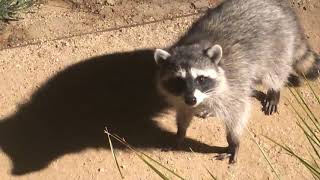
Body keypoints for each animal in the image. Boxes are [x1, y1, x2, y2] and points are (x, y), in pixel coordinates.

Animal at [154, 0, 318, 163]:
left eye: (201, 79)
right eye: (178, 80)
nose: (192, 99)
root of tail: (281, 6)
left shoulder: (233, 82)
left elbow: (237, 112)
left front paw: (233, 141)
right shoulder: (181, 96)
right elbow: (184, 112)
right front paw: (180, 132)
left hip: (278, 44)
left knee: (275, 70)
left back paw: (274, 90)